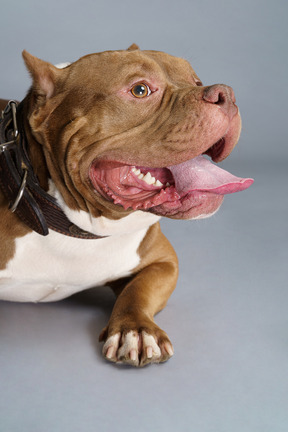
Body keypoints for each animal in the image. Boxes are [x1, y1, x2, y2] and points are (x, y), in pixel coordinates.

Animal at [0, 45, 252, 366]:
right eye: (140, 90)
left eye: (197, 81)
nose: (226, 94)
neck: (74, 227)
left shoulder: (164, 262)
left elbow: (138, 290)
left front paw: (136, 329)